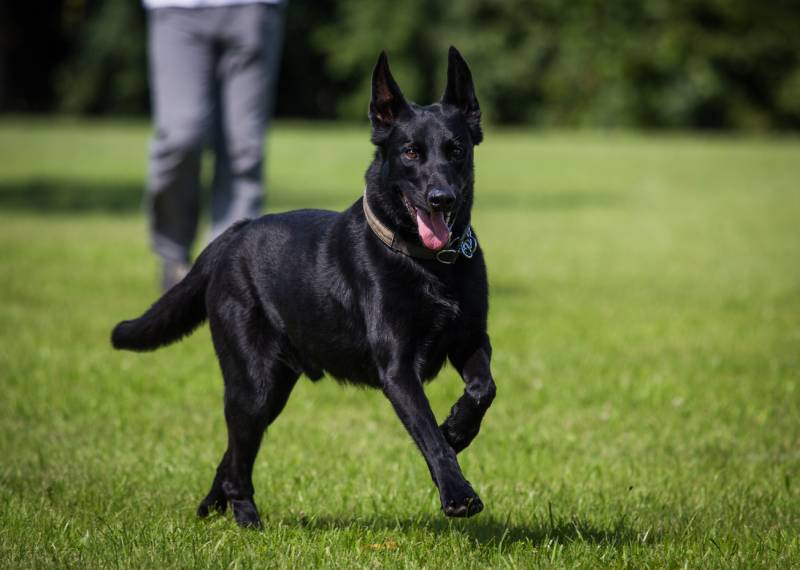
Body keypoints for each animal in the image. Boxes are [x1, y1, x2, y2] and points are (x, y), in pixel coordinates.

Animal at [112, 47, 496, 528]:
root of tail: (233, 235)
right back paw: (247, 520)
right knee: (239, 459)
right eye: (410, 152)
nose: (441, 197)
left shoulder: (470, 340)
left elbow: (483, 389)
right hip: (253, 385)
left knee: (232, 454)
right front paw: (457, 492)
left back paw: (212, 507)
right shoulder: (398, 370)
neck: (430, 267)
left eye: (456, 151)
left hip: (274, 388)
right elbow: (429, 436)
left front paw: (458, 428)